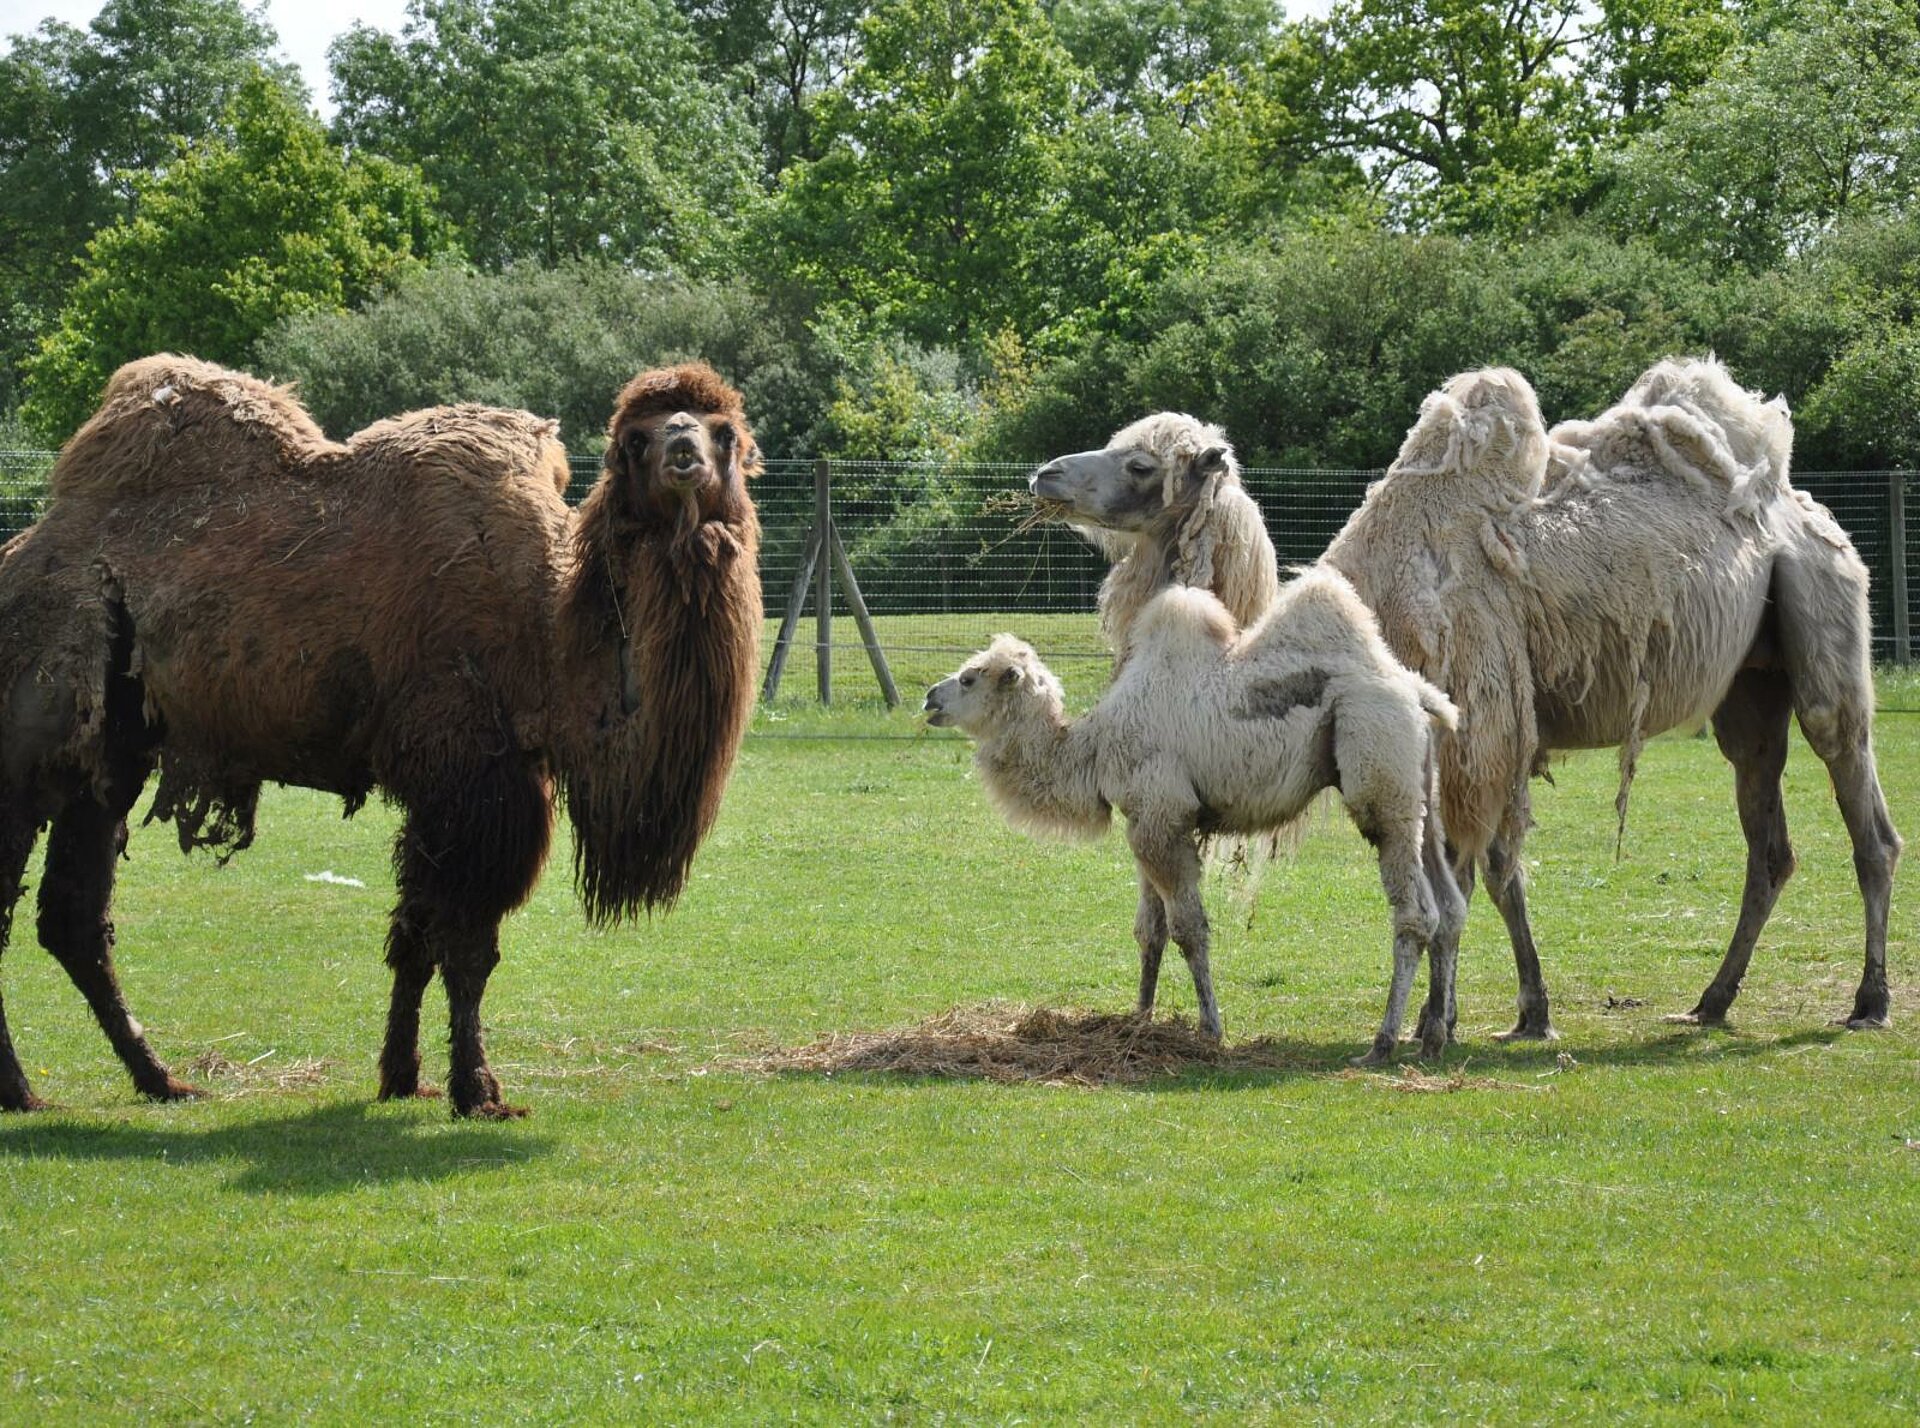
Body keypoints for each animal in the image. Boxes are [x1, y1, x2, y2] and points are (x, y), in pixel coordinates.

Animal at [0, 355, 763, 1117]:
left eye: (725, 432)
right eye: (634, 441)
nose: (683, 451)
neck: (548, 638)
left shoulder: (462, 790)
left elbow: (415, 936)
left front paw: (402, 1076)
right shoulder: (475, 781)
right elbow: (466, 945)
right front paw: (477, 1092)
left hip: (109, 763)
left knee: (73, 917)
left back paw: (161, 1080)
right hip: (25, 759)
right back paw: (26, 1093)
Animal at [925, 568, 1465, 1063]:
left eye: (970, 677)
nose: (931, 697)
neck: (1092, 749)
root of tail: (1417, 694)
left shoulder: (1163, 815)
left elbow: (1187, 928)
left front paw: (1210, 1029)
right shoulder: (1144, 819)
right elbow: (1150, 930)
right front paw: (1139, 1019)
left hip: (1378, 768)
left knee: (1416, 912)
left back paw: (1382, 1042)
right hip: (1421, 792)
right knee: (1450, 905)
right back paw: (1433, 1036)